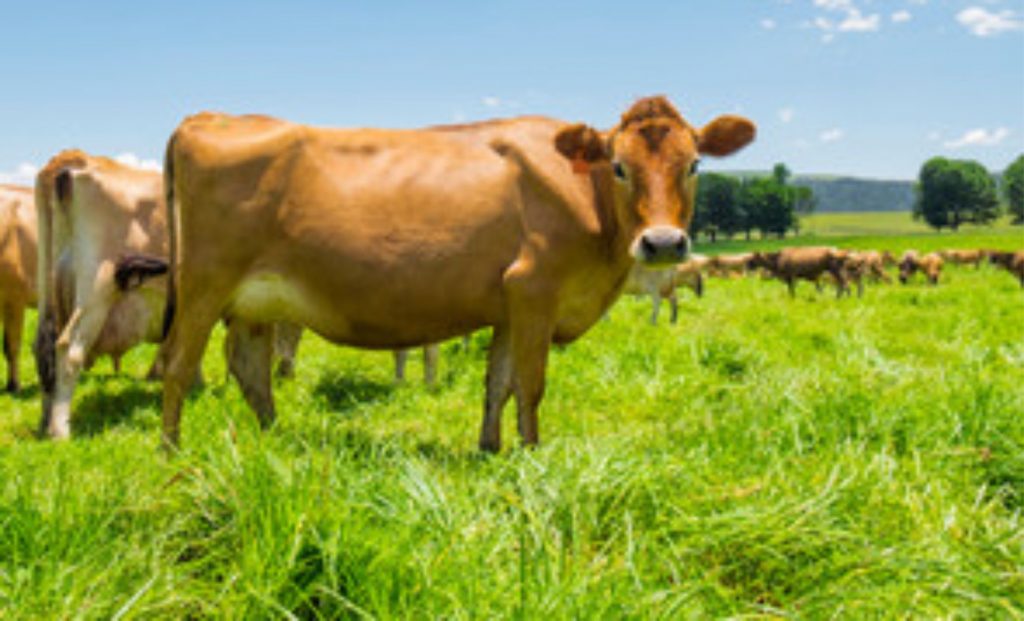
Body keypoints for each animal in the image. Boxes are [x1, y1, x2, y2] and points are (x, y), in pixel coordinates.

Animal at [157, 94, 753, 450]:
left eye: (695, 164)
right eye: (621, 167)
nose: (663, 243)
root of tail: (205, 118)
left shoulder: (511, 305)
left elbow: (499, 383)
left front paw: (491, 450)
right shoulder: (535, 290)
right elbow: (531, 384)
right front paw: (534, 455)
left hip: (255, 300)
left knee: (249, 369)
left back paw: (279, 443)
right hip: (202, 284)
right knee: (179, 367)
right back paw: (171, 453)